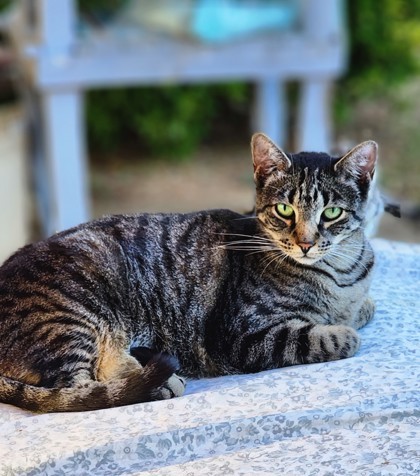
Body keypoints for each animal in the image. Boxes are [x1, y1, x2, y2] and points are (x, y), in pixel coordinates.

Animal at [0, 132, 378, 410]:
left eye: (331, 213)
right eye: (285, 210)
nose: (305, 243)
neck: (339, 274)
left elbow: (363, 308)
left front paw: (355, 309)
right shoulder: (241, 336)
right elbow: (327, 336)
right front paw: (341, 330)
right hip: (72, 319)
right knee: (78, 392)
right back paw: (157, 383)